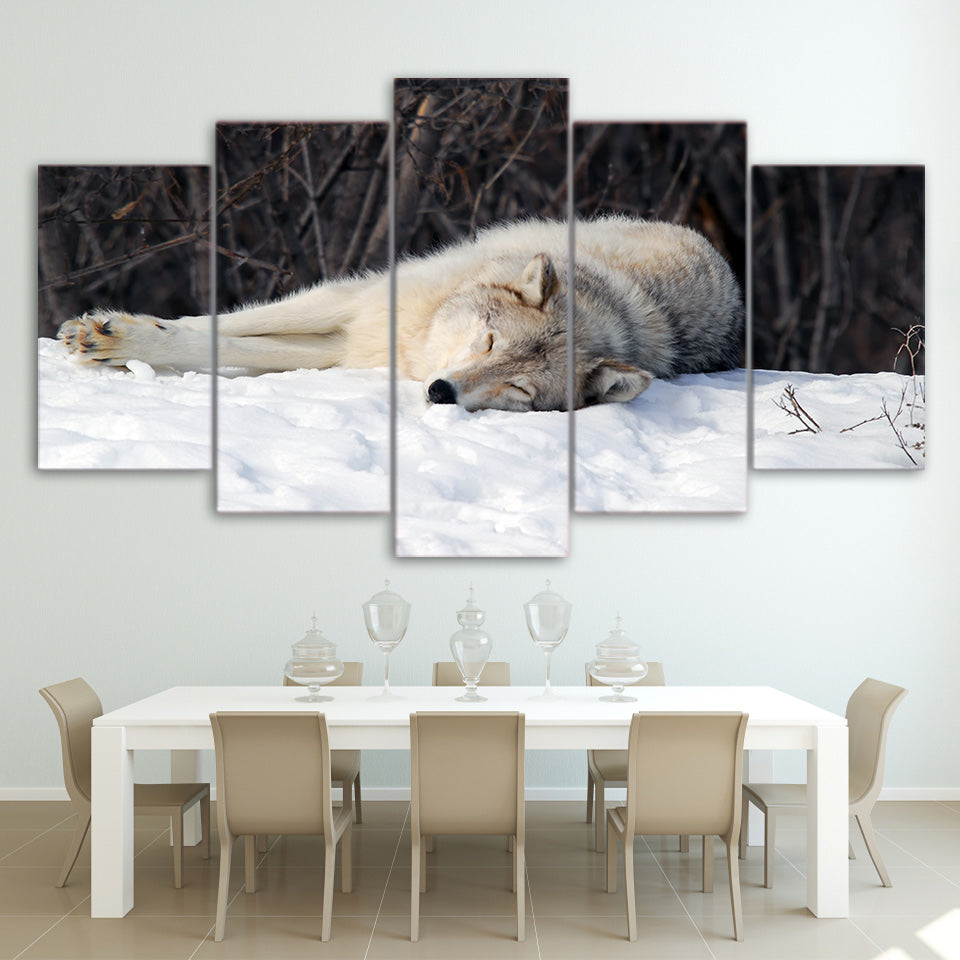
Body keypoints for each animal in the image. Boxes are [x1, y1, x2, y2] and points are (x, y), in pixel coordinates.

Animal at [58, 216, 744, 411]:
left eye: (519, 390)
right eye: (488, 341)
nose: (441, 392)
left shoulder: (351, 344)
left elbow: (230, 346)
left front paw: (116, 342)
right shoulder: (359, 303)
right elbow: (218, 328)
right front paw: (108, 333)